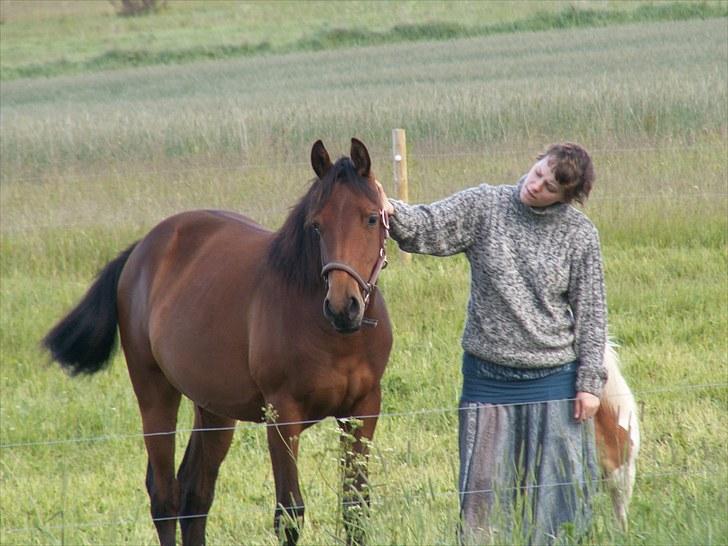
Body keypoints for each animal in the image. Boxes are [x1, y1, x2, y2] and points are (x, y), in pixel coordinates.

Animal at [42, 138, 396, 540]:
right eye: (316, 225)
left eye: (371, 218)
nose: (342, 307)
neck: (335, 338)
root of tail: (141, 249)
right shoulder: (282, 416)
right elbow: (289, 514)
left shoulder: (362, 411)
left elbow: (355, 510)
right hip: (155, 395)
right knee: (164, 496)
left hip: (213, 410)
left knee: (195, 494)